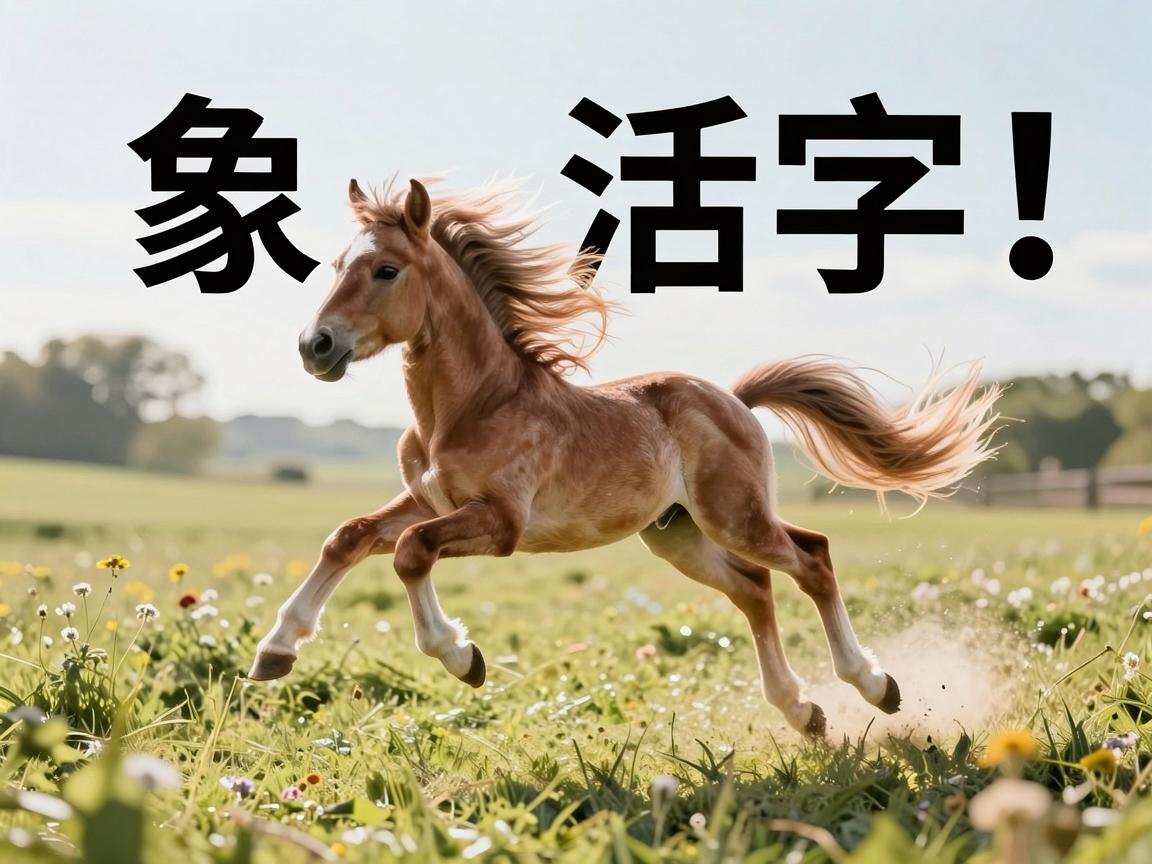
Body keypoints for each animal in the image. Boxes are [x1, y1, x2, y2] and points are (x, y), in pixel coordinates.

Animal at [248, 177, 1002, 736]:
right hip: (678, 535)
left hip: (733, 516)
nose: (315, 346)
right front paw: (275, 651)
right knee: (756, 590)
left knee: (811, 558)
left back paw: (876, 686)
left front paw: (464, 657)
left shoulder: (500, 522)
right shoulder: (427, 497)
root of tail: (734, 400)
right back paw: (804, 711)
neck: (474, 405)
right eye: (334, 265)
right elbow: (349, 537)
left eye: (386, 269)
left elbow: (410, 553)